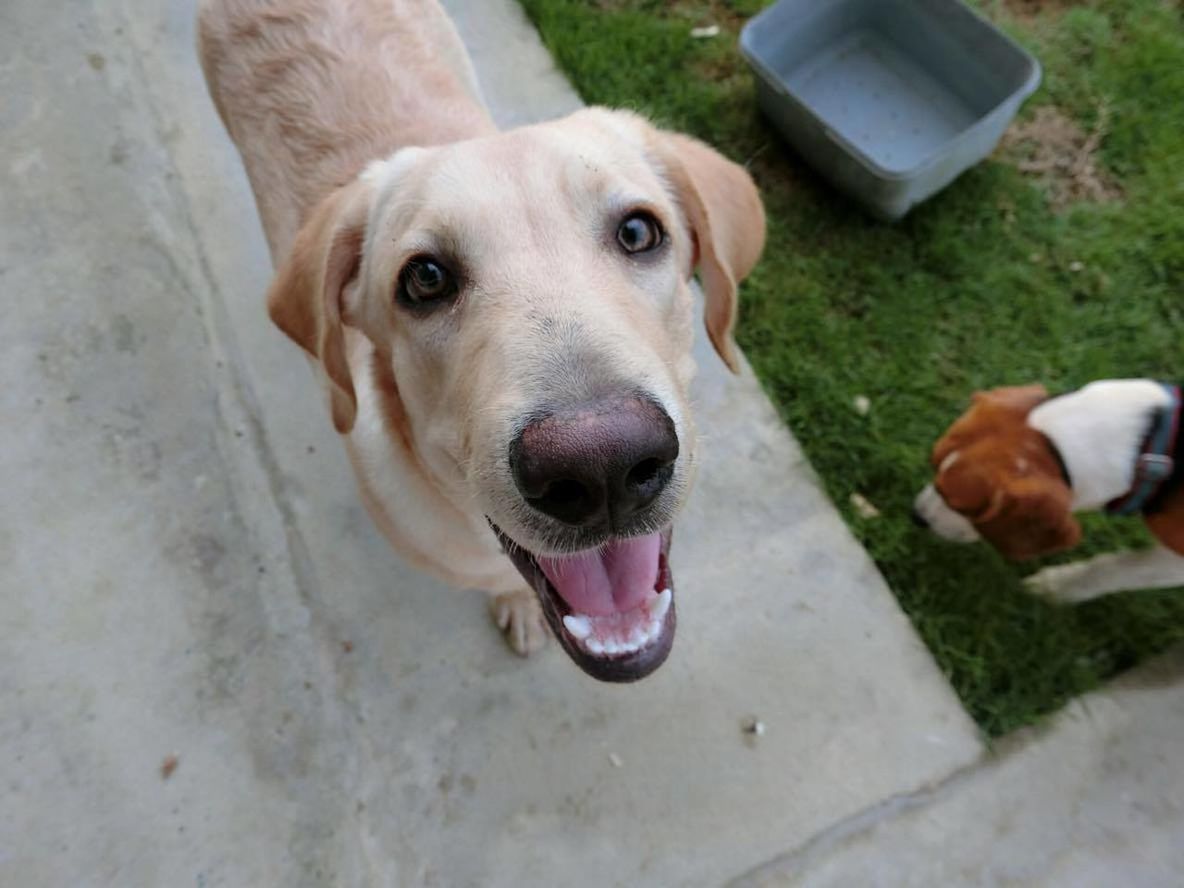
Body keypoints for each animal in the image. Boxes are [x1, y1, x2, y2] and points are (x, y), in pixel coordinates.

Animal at [914, 383, 1184, 606]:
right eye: (933, 464)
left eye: (962, 507)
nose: (916, 515)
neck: (1148, 443)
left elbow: (1122, 569)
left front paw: (1054, 588)